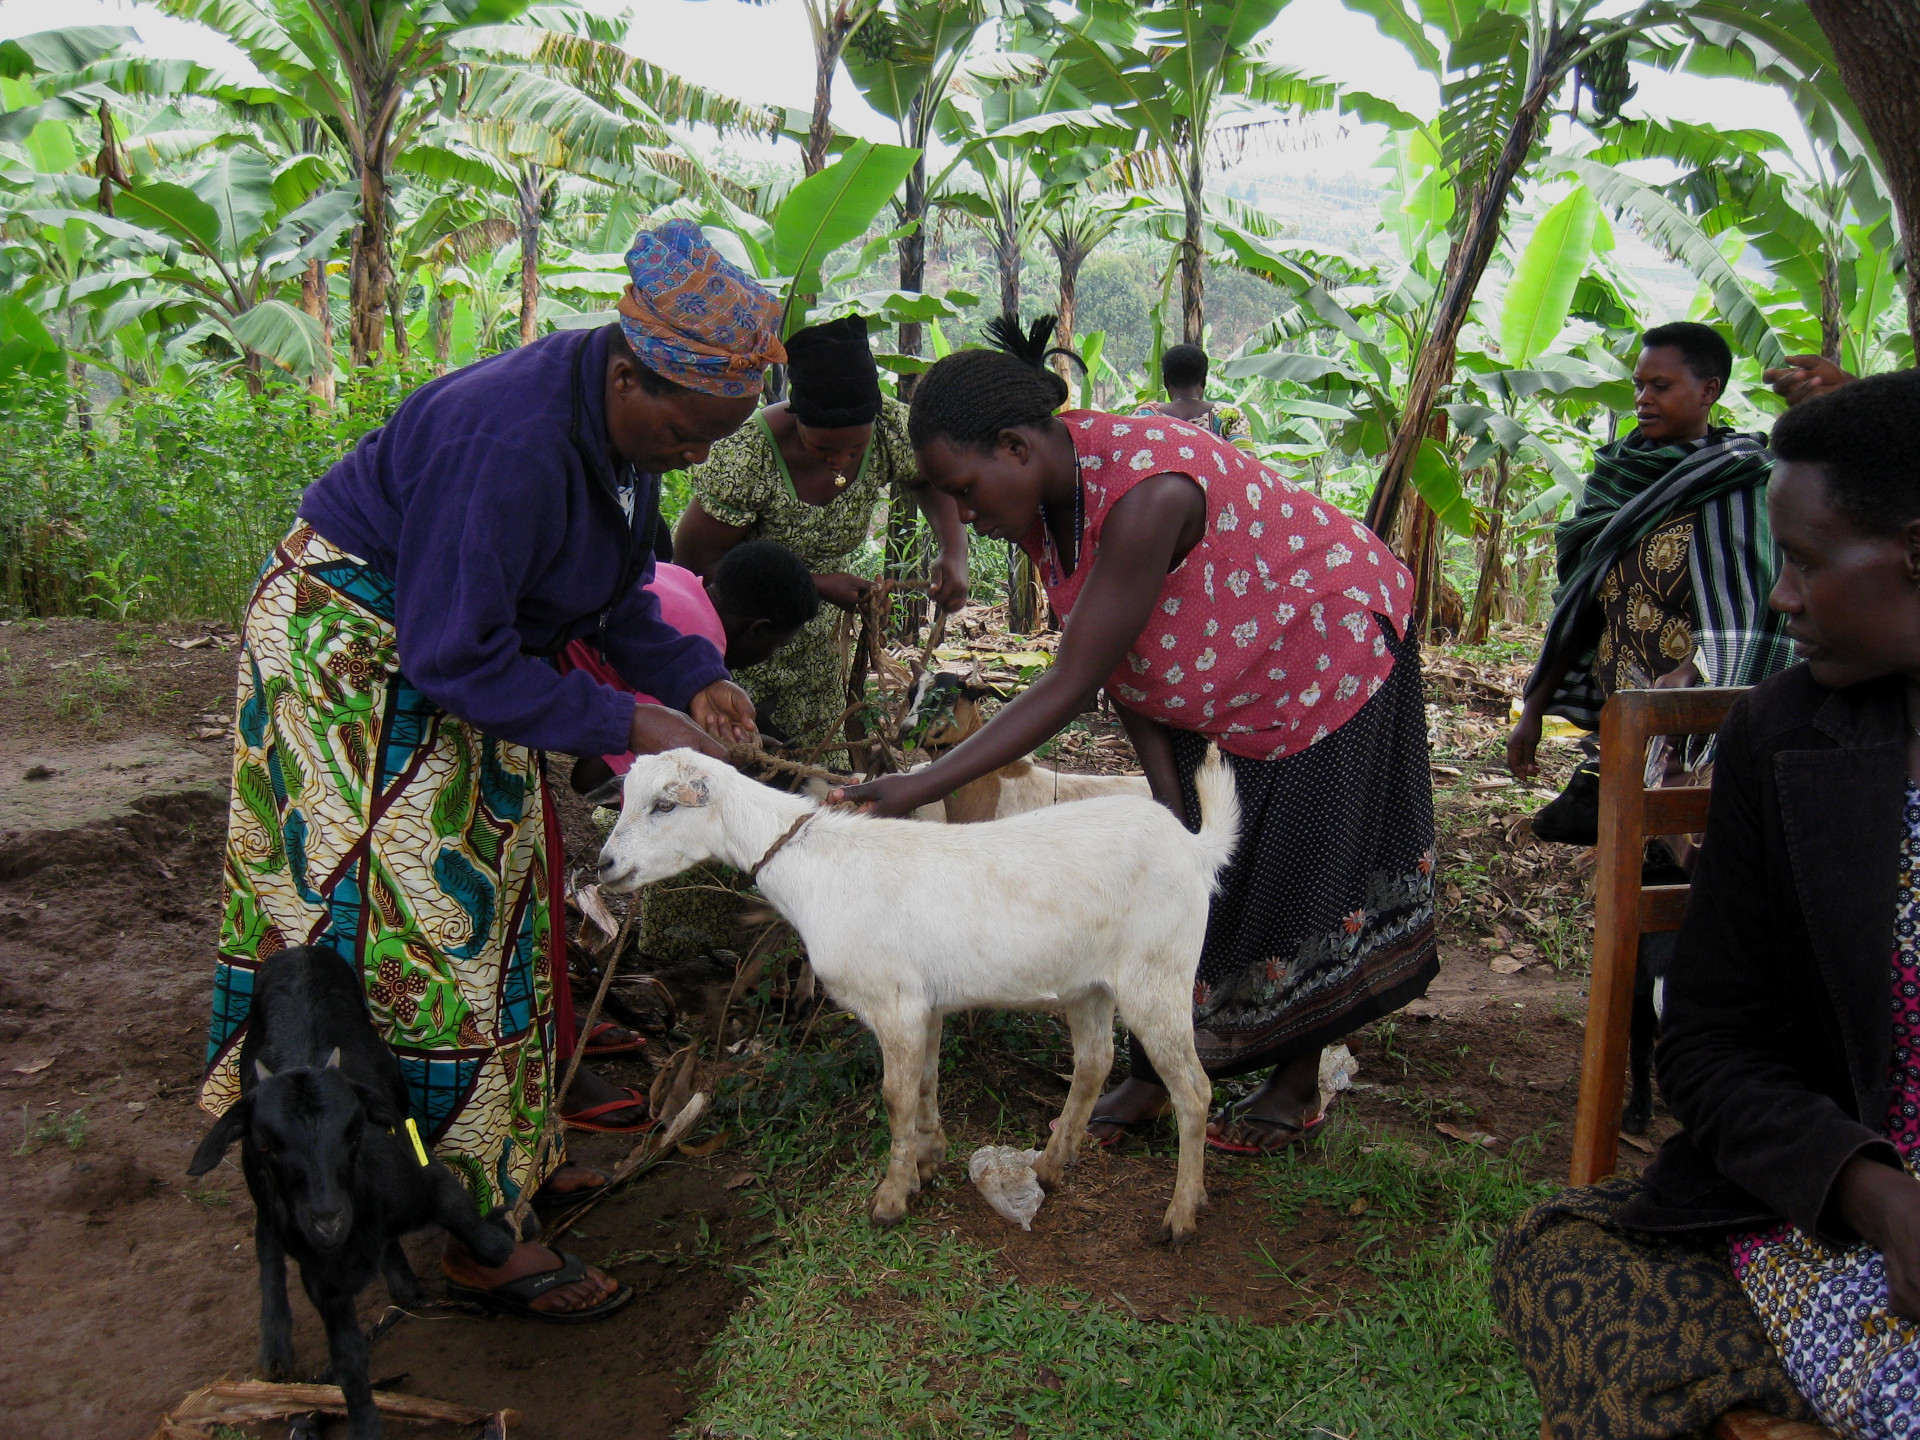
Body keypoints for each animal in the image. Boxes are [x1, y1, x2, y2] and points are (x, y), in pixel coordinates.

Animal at [188, 947, 519, 1440]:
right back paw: (276, 1347)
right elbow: (347, 1360)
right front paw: (363, 1423)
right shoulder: (323, 1282)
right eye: (267, 1144)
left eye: (354, 1131)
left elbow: (467, 1218)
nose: (328, 1219)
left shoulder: (421, 1175)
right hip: (260, 1189)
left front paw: (504, 1239)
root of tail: (296, 951)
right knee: (266, 1243)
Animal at [595, 746, 1239, 1246]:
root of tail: (1195, 847)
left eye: (664, 805)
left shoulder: (895, 1003)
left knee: (1193, 1090)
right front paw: (930, 1160)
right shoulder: (925, 1005)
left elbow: (895, 1096)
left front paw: (891, 1197)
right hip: (1090, 983)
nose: (604, 865)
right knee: (1094, 1063)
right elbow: (926, 1083)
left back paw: (1181, 1214)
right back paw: (1052, 1165)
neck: (813, 868)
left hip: (1158, 972)